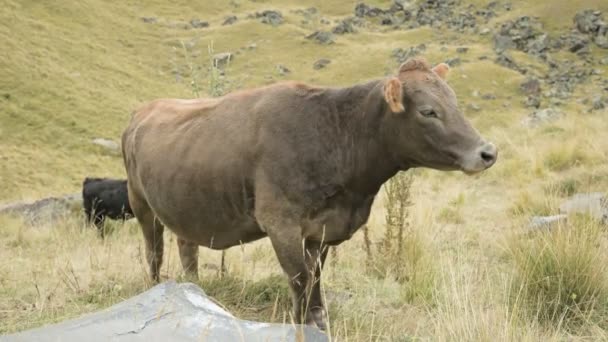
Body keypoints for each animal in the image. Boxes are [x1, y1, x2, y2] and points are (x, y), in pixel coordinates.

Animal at [120, 57, 498, 330]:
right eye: (428, 111)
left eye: (454, 102)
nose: (487, 152)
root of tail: (143, 110)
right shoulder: (280, 222)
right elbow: (300, 278)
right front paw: (302, 323)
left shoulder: (322, 228)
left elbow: (316, 277)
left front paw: (318, 320)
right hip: (140, 203)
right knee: (153, 252)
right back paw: (156, 287)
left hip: (184, 206)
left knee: (187, 249)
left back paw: (195, 289)